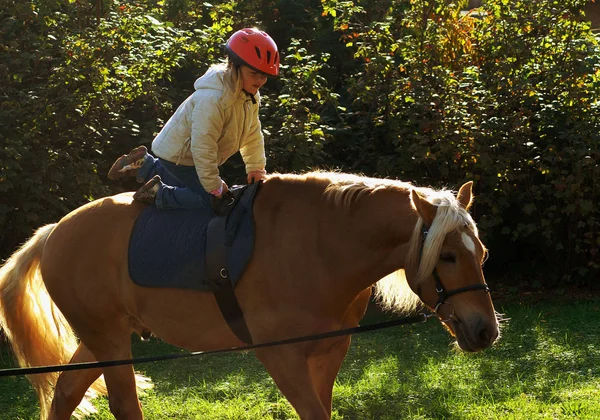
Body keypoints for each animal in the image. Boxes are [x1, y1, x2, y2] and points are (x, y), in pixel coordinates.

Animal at [0, 171, 500, 420]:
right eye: (448, 256)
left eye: (482, 253)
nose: (486, 331)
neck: (320, 246)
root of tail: (52, 233)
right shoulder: (280, 355)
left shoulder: (328, 352)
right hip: (108, 340)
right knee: (123, 405)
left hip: (102, 338)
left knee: (66, 393)